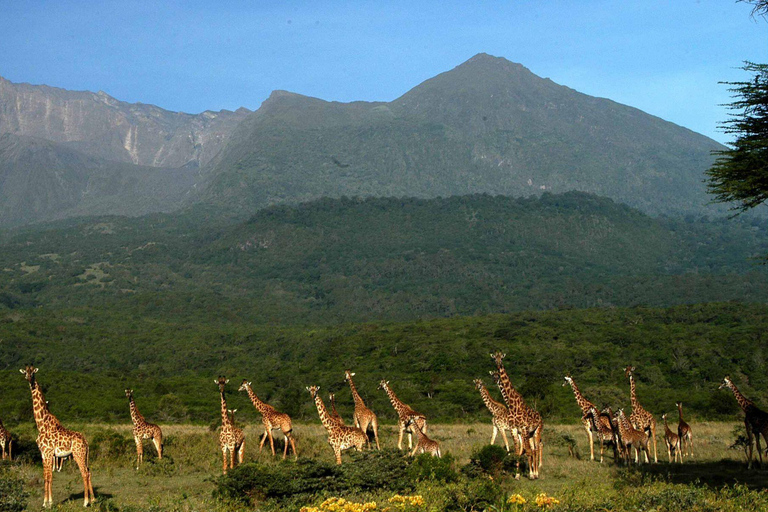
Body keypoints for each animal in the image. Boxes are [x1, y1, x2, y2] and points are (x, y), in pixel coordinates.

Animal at [20, 364, 94, 508]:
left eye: (33, 372)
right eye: (25, 372)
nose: (29, 379)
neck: (41, 424)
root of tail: (86, 442)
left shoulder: (48, 452)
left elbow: (49, 476)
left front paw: (49, 502)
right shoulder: (43, 453)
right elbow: (45, 476)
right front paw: (45, 502)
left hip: (78, 454)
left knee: (84, 473)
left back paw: (85, 502)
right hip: (84, 455)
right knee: (89, 471)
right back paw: (93, 499)